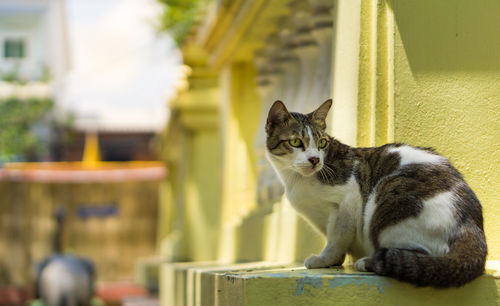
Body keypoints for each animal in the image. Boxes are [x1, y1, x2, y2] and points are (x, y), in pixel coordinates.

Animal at [266, 100, 488, 286]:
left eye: (322, 143)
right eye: (296, 142)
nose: (315, 160)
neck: (295, 179)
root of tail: (470, 223)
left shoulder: (349, 199)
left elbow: (336, 238)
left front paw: (324, 259)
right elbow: (336, 240)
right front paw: (334, 261)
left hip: (384, 206)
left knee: (419, 258)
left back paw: (367, 262)